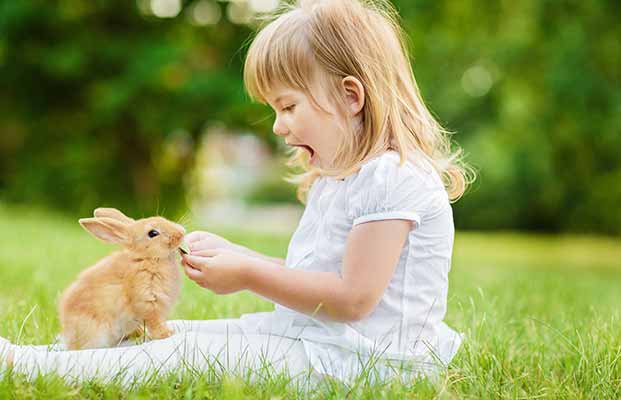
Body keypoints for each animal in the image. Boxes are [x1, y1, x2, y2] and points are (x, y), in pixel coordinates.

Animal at [59, 208, 188, 348]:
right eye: (153, 233)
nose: (181, 233)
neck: (147, 258)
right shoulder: (147, 301)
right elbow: (154, 321)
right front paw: (166, 334)